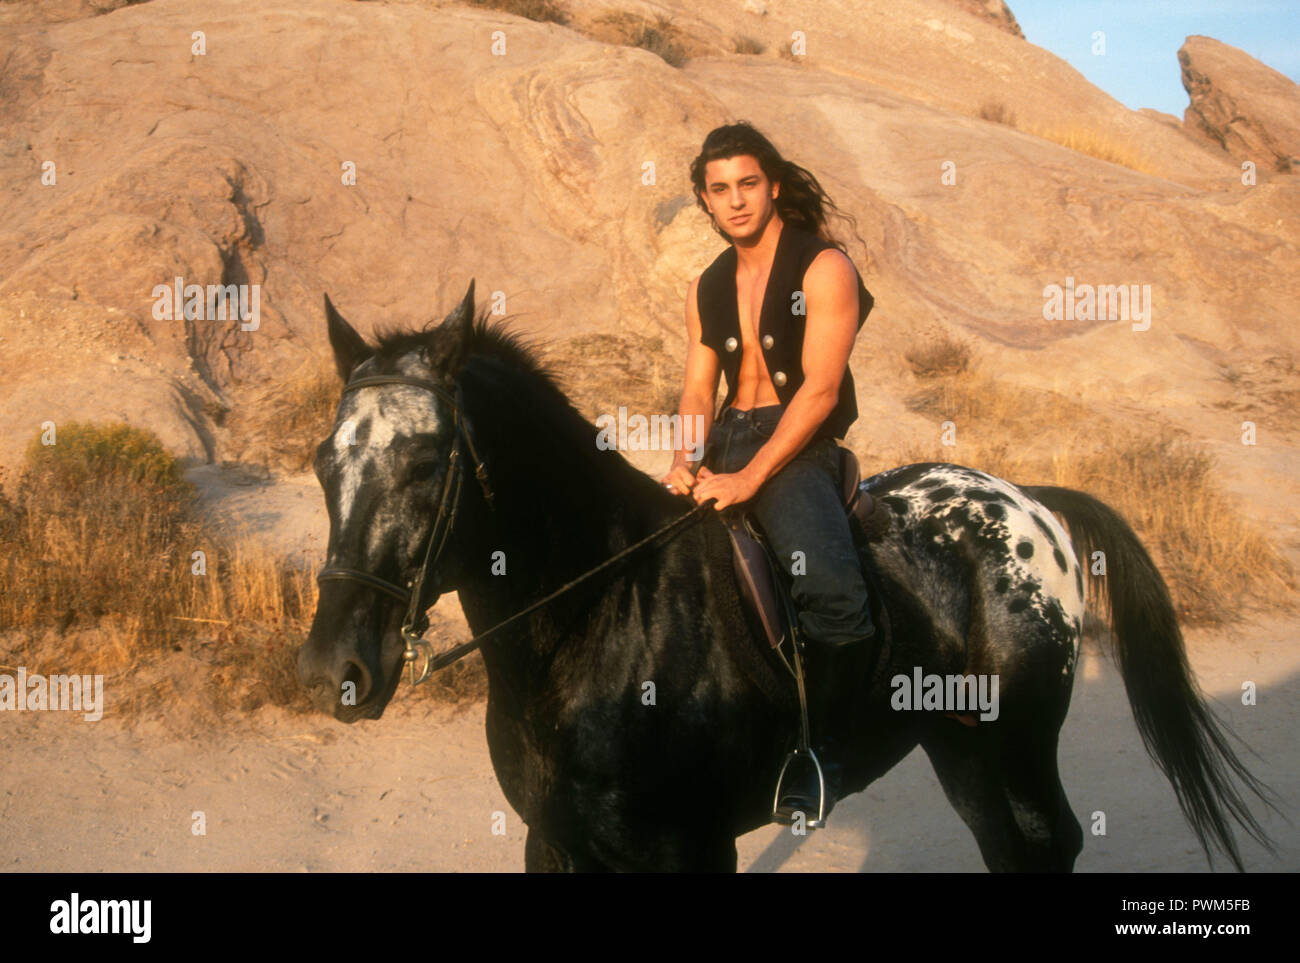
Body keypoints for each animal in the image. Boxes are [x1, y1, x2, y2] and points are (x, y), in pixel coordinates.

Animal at [292, 279, 1268, 873]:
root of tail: (1029, 503)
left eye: (426, 461)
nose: (336, 668)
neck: (602, 620)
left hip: (1018, 739)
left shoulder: (689, 849)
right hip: (960, 743)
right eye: (322, 462)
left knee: (1046, 840)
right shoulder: (555, 842)